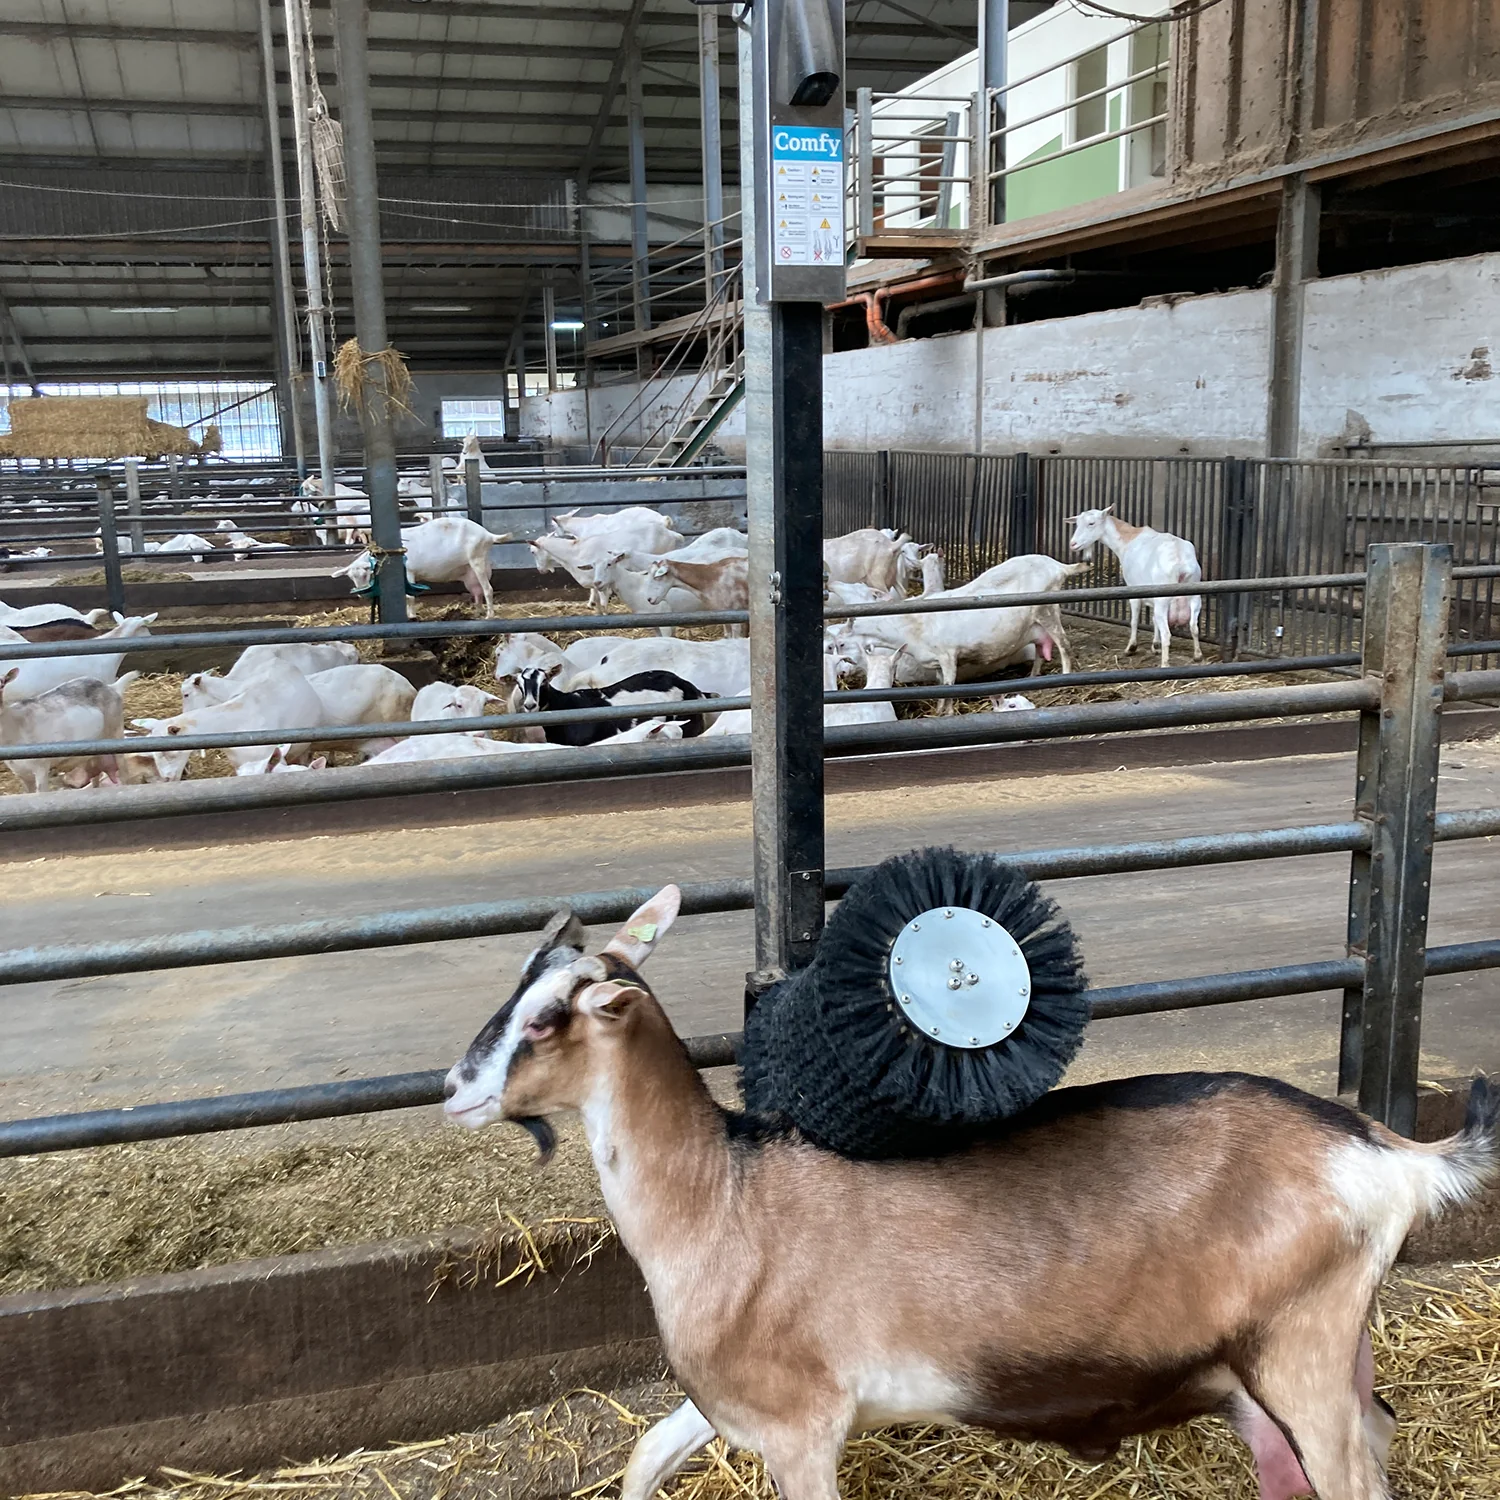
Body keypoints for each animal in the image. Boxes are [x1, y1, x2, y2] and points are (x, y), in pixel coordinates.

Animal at [445, 887, 1500, 1500]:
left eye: (544, 1019)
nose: (453, 1088)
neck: (723, 1198)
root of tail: (1388, 1151)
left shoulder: (800, 1423)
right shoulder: (728, 1402)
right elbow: (645, 1457)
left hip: (1300, 1346)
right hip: (1294, 1364)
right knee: (1369, 1436)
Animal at [1069, 506, 1204, 667]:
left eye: (1091, 523)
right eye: (1077, 523)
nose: (1072, 544)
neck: (1128, 540)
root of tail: (1181, 563)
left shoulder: (1133, 589)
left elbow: (1134, 621)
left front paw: (1131, 647)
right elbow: (1153, 620)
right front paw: (1155, 645)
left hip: (1164, 600)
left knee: (1167, 634)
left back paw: (1165, 664)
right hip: (1195, 597)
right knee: (1194, 627)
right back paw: (1197, 655)